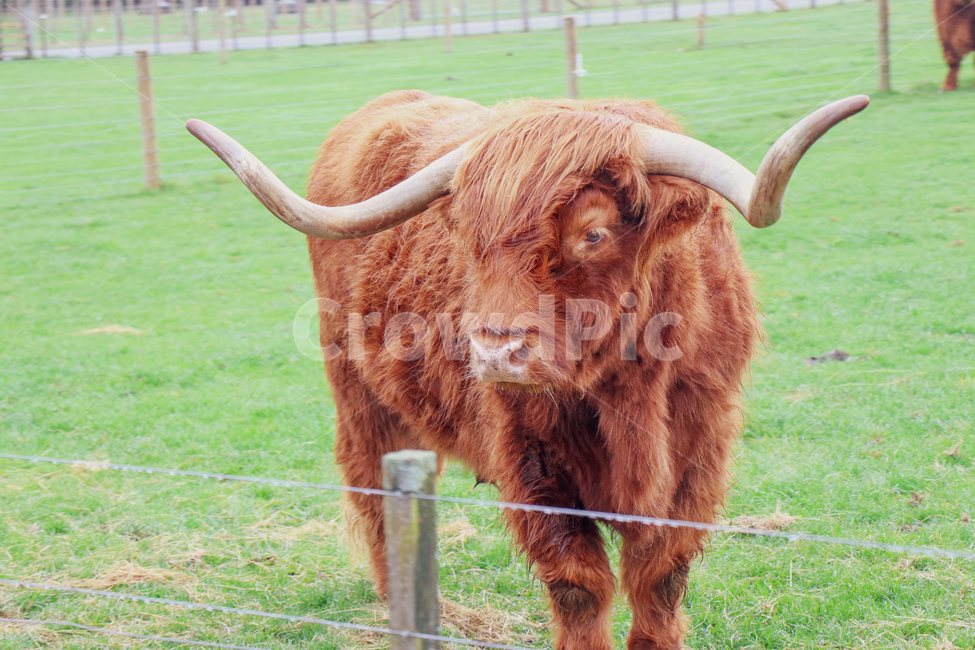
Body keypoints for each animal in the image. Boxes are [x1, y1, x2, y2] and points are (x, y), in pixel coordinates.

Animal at [187, 90, 867, 649]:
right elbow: (579, 584)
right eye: (468, 237)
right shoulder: (531, 462)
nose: (496, 351)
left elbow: (660, 576)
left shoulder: (698, 455)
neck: (630, 393)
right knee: (371, 484)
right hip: (356, 390)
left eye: (593, 233)